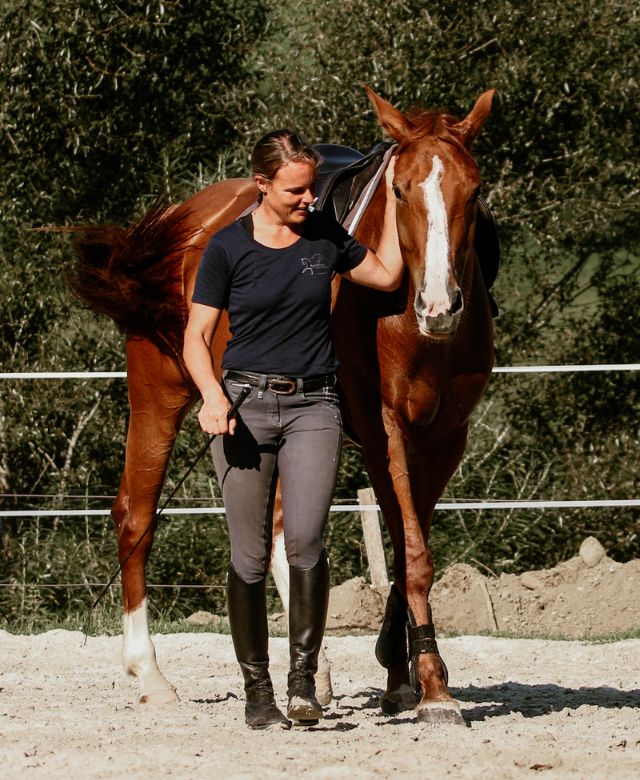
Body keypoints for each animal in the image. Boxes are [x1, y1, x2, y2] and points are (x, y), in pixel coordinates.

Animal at [67, 87, 495, 725]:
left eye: (474, 191)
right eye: (399, 190)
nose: (439, 306)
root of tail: (187, 219)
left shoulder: (446, 437)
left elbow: (406, 549)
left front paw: (400, 676)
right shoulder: (384, 430)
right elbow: (412, 553)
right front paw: (433, 688)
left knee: (276, 531)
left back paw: (316, 674)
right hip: (159, 393)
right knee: (135, 515)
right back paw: (150, 675)